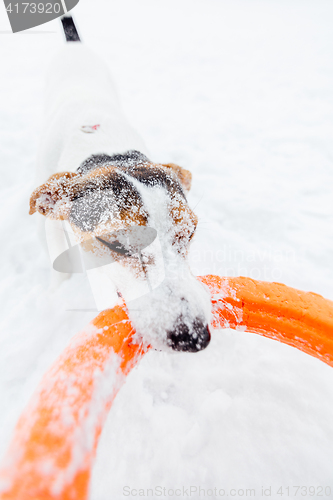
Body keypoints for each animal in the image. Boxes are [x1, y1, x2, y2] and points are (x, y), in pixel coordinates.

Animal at [28, 15, 210, 352]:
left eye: (189, 233)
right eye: (115, 244)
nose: (194, 337)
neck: (108, 153)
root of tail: (74, 45)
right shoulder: (52, 226)